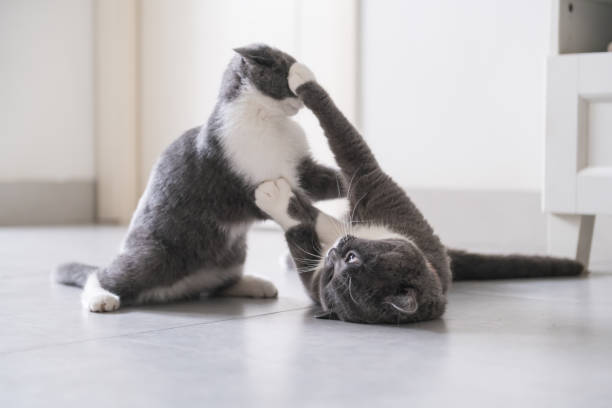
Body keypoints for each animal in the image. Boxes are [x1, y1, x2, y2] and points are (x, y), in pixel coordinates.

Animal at [54, 44, 344, 312]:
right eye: (287, 75)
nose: (303, 100)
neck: (268, 119)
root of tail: (179, 290)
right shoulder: (250, 189)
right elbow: (304, 210)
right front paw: (338, 226)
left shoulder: (303, 171)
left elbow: (331, 182)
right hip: (155, 256)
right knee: (104, 273)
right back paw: (100, 298)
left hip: (234, 252)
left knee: (219, 286)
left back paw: (253, 284)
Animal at [256, 63, 584, 324]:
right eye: (333, 273)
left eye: (349, 260)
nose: (335, 252)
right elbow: (314, 223)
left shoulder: (372, 183)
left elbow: (347, 142)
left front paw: (300, 76)